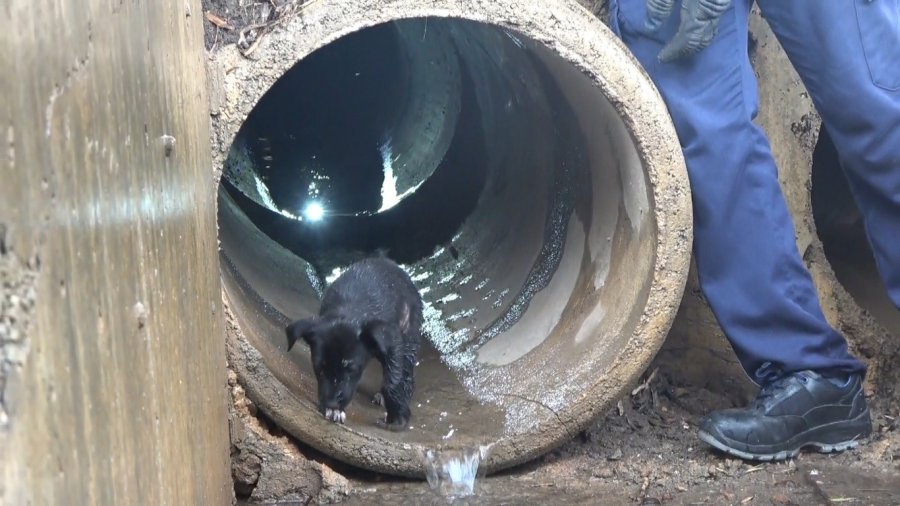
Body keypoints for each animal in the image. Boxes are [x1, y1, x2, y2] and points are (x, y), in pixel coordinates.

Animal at [288, 256, 426, 430]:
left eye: (351, 369)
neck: (348, 313)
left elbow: (392, 382)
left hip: (408, 333)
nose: (332, 403)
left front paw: (397, 417)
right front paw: (333, 411)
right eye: (319, 368)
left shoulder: (392, 342)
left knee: (406, 373)